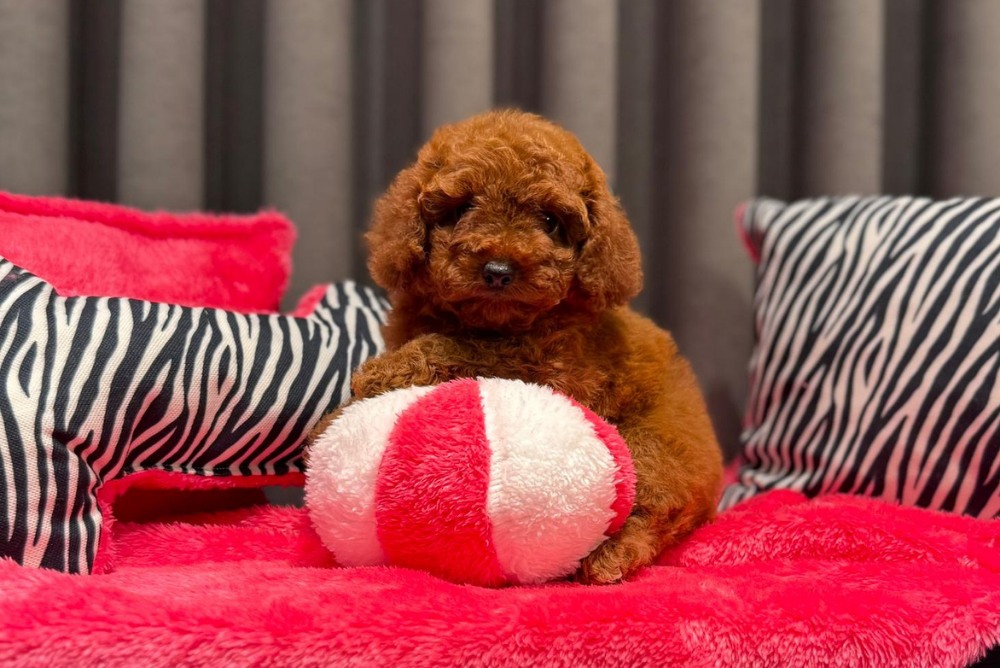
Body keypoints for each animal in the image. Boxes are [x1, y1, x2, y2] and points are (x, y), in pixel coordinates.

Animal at [311, 109, 722, 584]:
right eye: (462, 208)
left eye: (549, 221)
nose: (498, 270)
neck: (492, 320)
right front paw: (331, 423)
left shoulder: (555, 369)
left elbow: (469, 349)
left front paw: (384, 371)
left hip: (656, 449)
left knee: (650, 509)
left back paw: (610, 558)